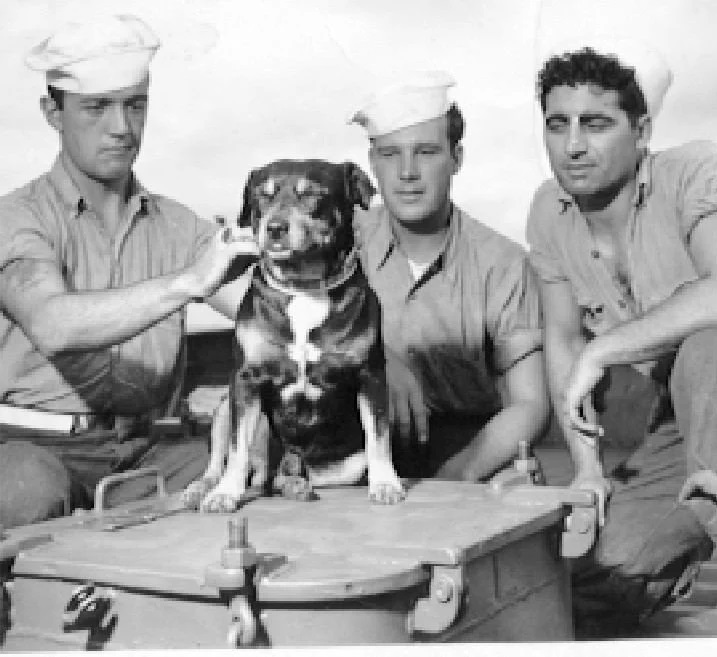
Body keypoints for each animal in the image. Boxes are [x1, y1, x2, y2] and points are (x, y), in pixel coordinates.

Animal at [182, 161, 406, 510]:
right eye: (263, 195)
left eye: (311, 194)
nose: (275, 228)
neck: (303, 286)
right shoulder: (245, 380)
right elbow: (236, 446)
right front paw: (225, 493)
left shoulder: (370, 376)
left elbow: (378, 437)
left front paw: (385, 484)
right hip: (224, 407)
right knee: (225, 462)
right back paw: (203, 488)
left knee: (278, 478)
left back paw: (295, 485)